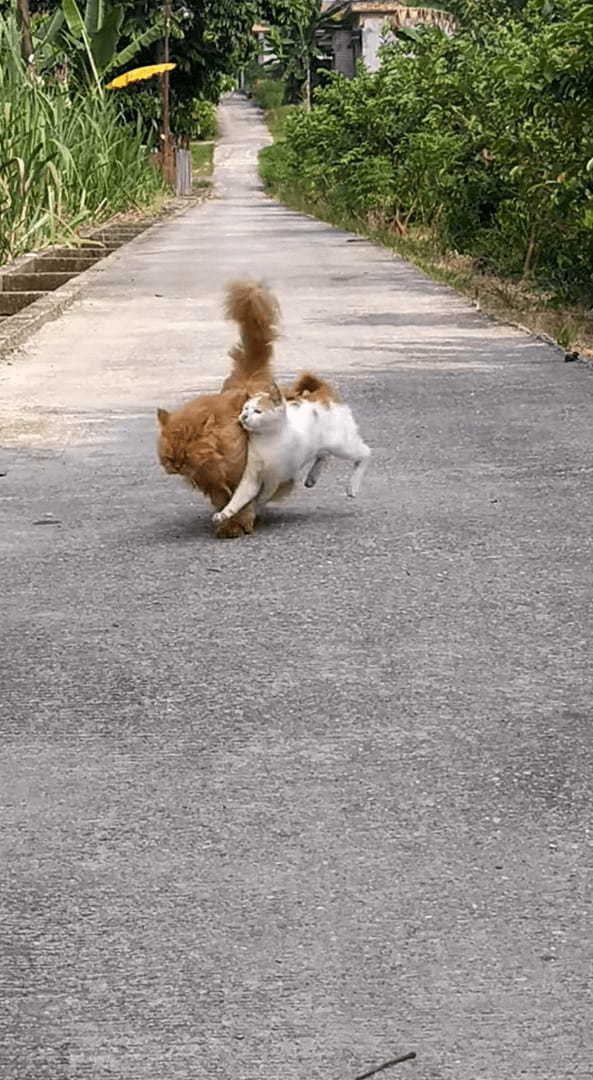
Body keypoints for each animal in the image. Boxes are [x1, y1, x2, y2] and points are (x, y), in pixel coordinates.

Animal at [211, 382, 369, 524]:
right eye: (245, 409)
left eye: (257, 411)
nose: (244, 416)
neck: (266, 441)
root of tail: (324, 392)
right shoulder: (251, 478)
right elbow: (238, 498)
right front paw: (225, 513)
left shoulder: (275, 479)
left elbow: (263, 496)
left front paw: (255, 508)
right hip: (323, 445)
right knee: (324, 455)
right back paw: (312, 477)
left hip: (342, 446)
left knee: (365, 453)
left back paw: (353, 486)